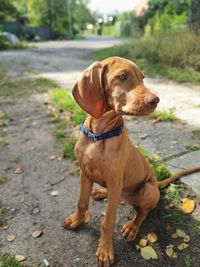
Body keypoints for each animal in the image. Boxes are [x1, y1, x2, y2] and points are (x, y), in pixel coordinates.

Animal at [63, 57, 200, 266]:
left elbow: (108, 221)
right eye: (122, 76)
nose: (156, 100)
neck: (99, 135)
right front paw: (77, 220)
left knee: (143, 212)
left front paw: (105, 250)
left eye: (143, 78)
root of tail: (157, 183)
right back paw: (101, 193)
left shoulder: (115, 179)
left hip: (147, 189)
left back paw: (132, 227)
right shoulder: (84, 173)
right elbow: (81, 202)